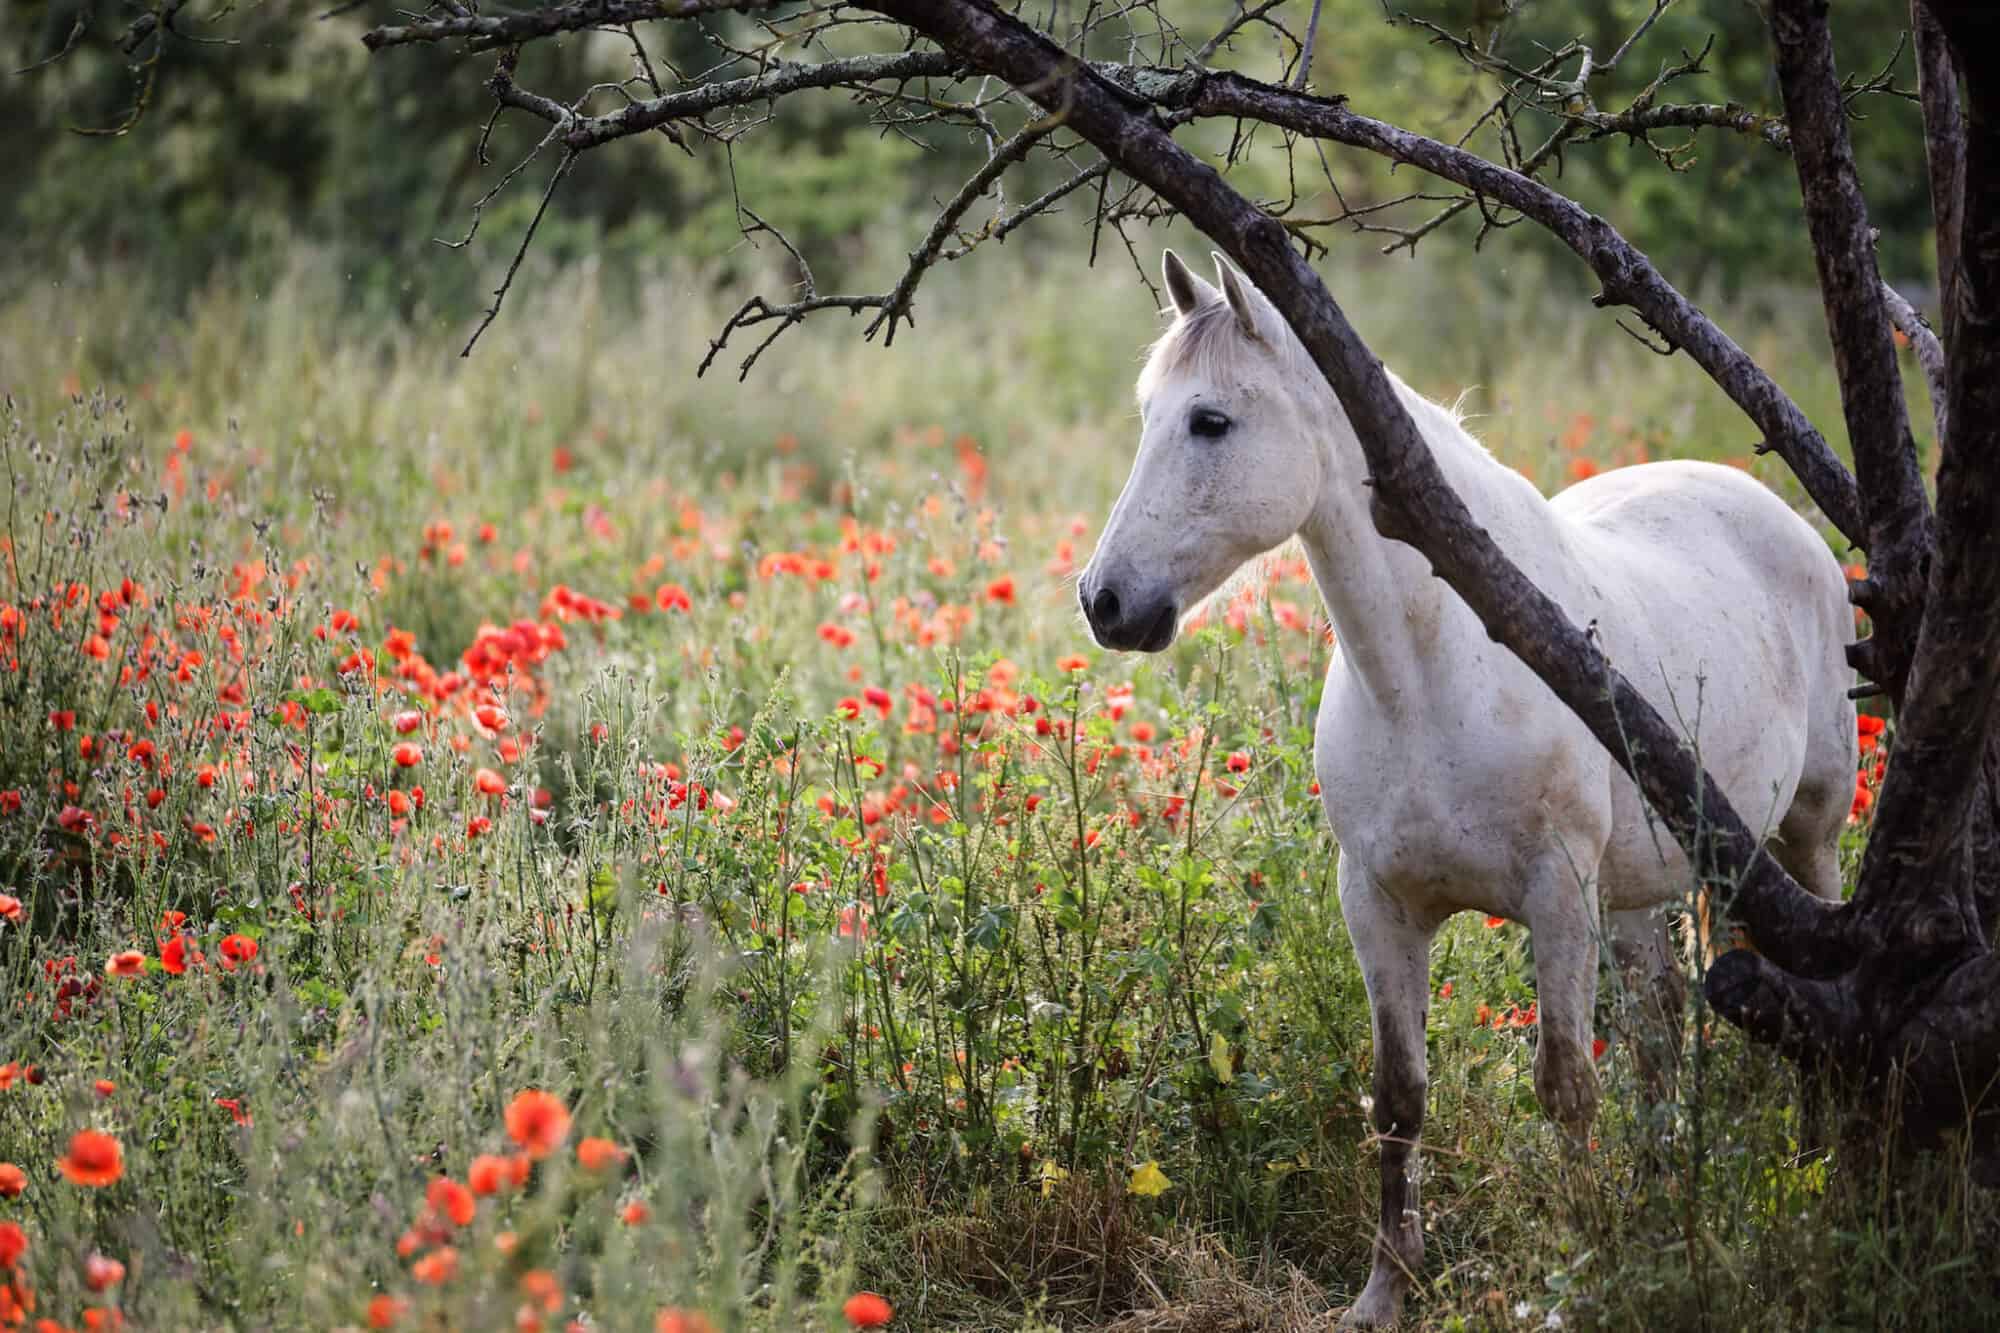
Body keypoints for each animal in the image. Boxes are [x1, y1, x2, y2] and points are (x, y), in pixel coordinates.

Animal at [1088, 249, 1848, 1320]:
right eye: (1149, 413)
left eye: (1210, 421)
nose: (1105, 601)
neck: (1431, 671)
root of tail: (1782, 519)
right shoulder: (1378, 902)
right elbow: (1399, 1095)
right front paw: (1383, 1292)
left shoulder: (1557, 895)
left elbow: (1565, 1085)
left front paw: (1583, 1272)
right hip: (1640, 890)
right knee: (1661, 1029)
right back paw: (1661, 1198)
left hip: (1800, 840)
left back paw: (1814, 1171)